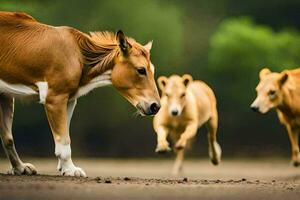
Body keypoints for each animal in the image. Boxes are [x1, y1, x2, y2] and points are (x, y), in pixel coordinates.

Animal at [0, 11, 162, 177]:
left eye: (152, 70)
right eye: (141, 70)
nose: (155, 106)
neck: (79, 55)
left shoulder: (69, 100)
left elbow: (64, 136)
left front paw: (64, 167)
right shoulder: (54, 98)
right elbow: (64, 140)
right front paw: (71, 170)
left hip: (6, 97)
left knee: (7, 138)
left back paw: (19, 167)